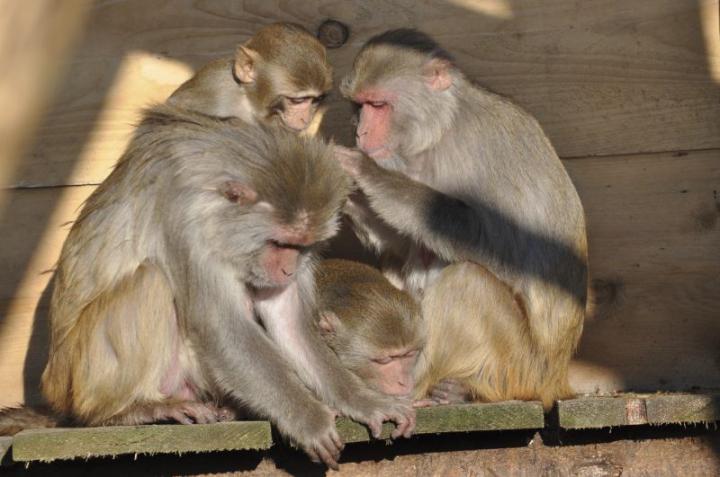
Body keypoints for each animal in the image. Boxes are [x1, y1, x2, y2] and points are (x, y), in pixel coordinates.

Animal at [335, 29, 588, 410]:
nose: (361, 134)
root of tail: (557, 378)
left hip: (523, 366)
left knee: (467, 281)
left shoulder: (485, 146)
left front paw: (371, 175)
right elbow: (401, 242)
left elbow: (505, 246)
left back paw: (424, 391)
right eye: (358, 106)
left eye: (378, 105)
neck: (441, 130)